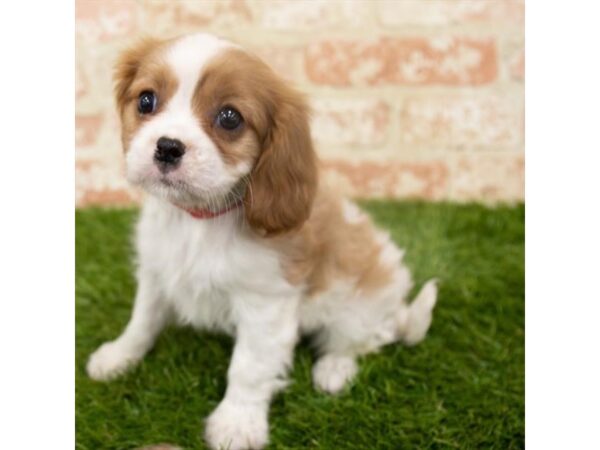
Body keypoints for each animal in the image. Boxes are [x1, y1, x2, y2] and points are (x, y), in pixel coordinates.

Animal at [88, 32, 436, 450]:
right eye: (146, 100)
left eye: (229, 118)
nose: (168, 146)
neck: (198, 220)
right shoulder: (157, 273)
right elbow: (142, 321)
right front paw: (118, 357)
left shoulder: (265, 304)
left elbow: (249, 366)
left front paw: (237, 423)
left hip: (360, 303)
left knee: (364, 339)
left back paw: (334, 369)